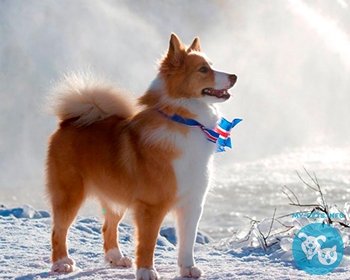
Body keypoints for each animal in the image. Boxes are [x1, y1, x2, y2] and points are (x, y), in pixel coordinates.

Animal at [45, 33, 238, 280]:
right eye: (203, 69)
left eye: (212, 65)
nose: (234, 76)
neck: (184, 120)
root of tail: (69, 122)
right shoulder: (150, 206)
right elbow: (147, 243)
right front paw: (146, 270)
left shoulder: (193, 203)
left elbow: (188, 242)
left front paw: (187, 268)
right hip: (69, 194)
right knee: (58, 230)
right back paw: (62, 263)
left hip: (115, 198)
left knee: (108, 228)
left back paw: (116, 258)